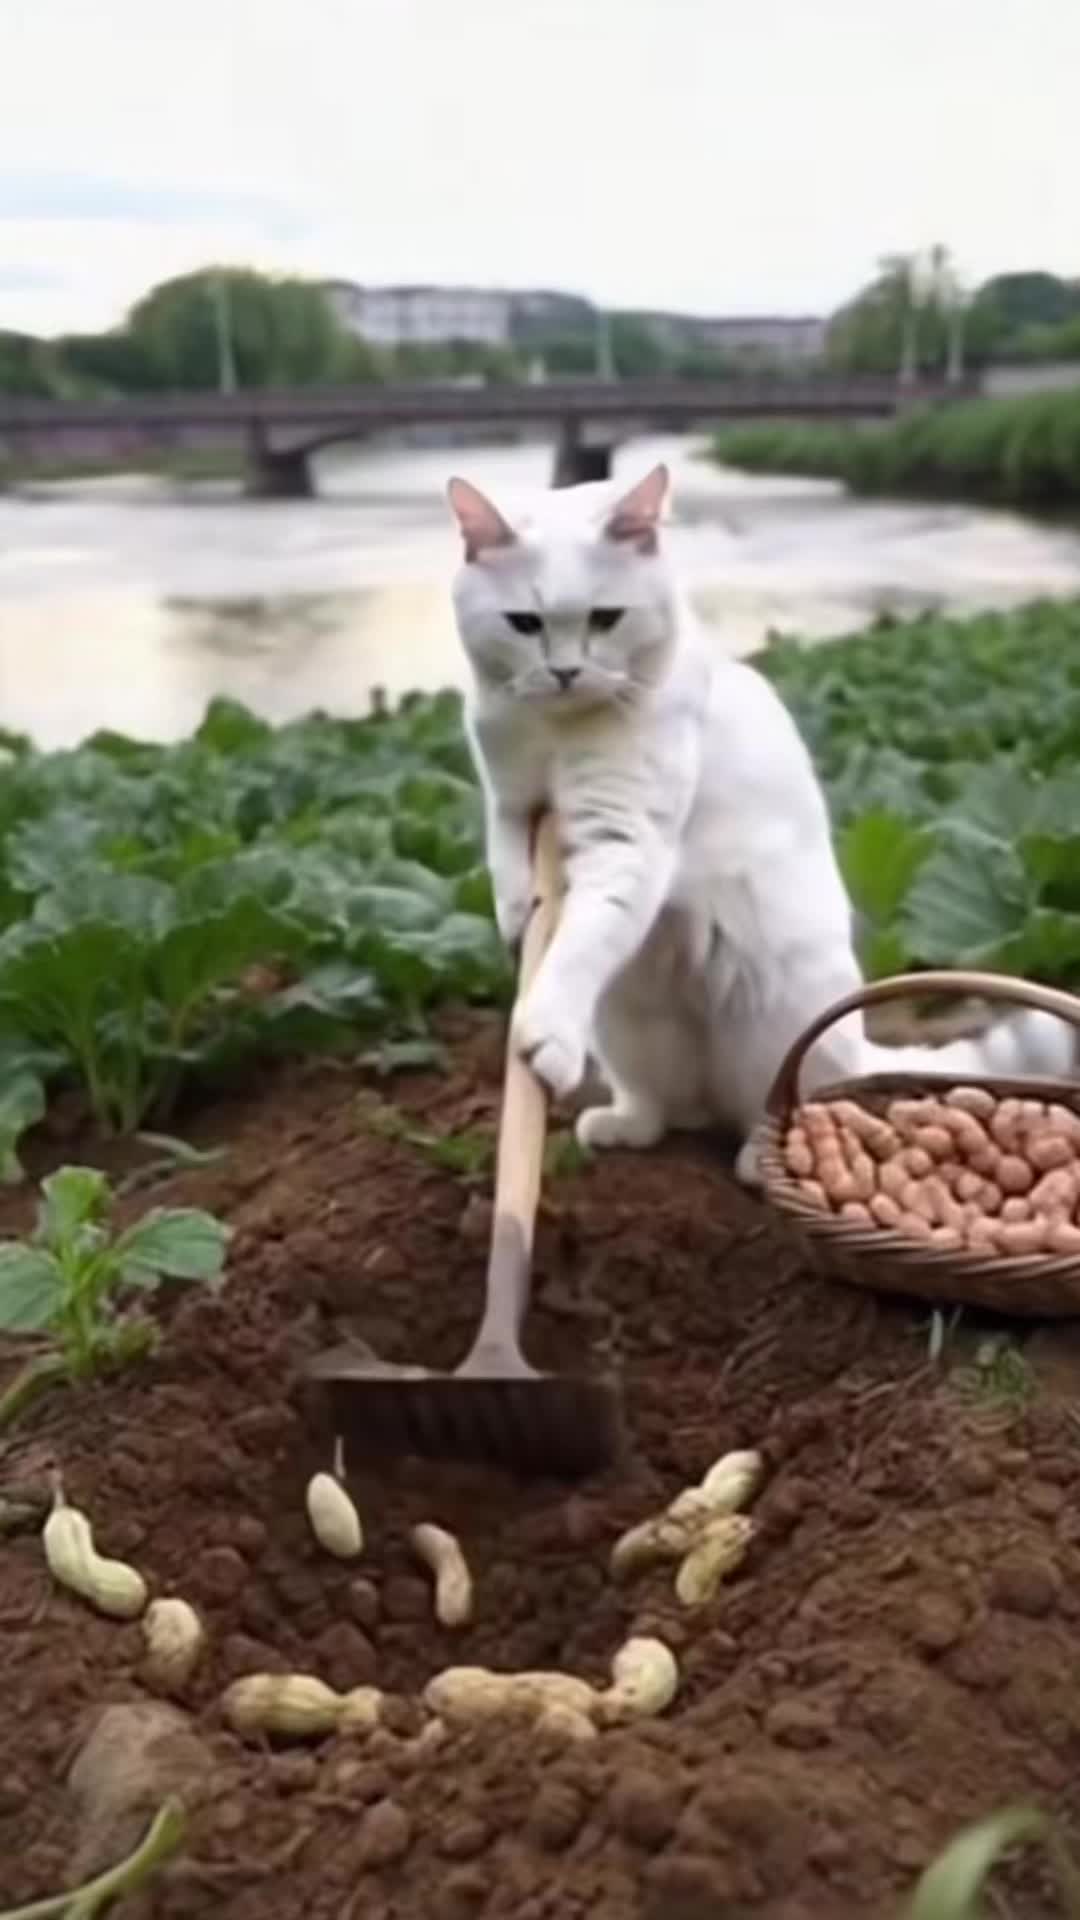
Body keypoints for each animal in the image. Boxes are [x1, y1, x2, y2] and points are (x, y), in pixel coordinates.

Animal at [443, 466, 1068, 1182]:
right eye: (524, 624)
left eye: (606, 618)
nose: (567, 672)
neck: (557, 733)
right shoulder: (510, 798)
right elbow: (505, 864)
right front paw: (518, 919)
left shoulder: (628, 838)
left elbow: (579, 944)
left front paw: (545, 1032)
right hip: (630, 1030)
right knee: (665, 1108)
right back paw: (625, 1125)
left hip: (772, 1031)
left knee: (775, 1108)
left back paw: (756, 1162)